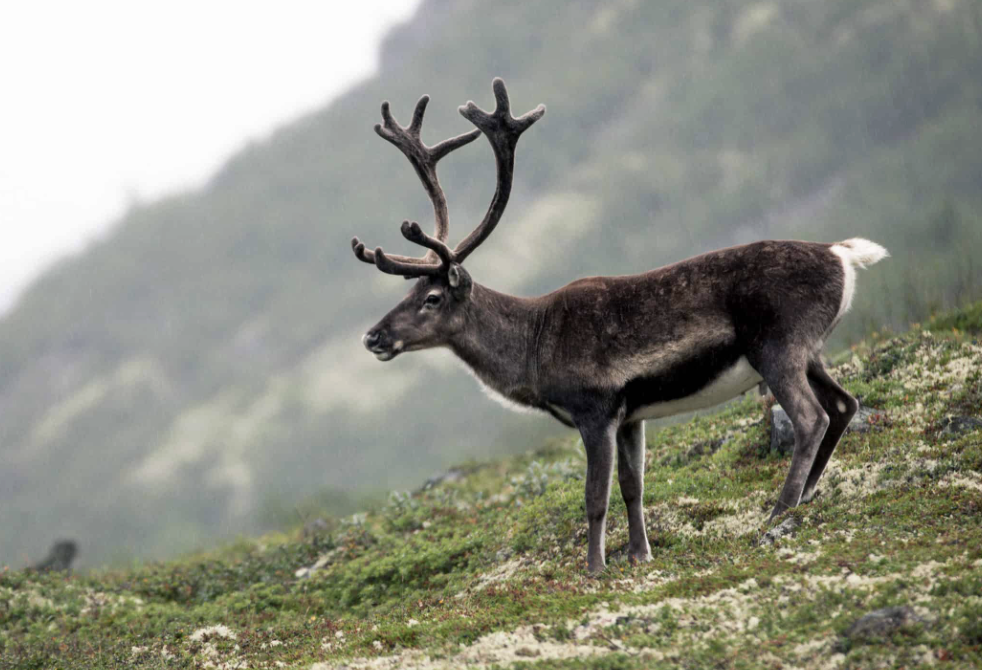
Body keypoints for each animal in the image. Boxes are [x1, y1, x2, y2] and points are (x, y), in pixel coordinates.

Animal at [351, 78, 888, 574]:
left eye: (432, 298)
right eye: (406, 293)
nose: (373, 336)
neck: (532, 348)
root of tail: (842, 255)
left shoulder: (596, 410)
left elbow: (595, 496)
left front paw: (595, 567)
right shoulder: (632, 415)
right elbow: (633, 486)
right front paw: (639, 553)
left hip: (778, 348)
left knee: (811, 417)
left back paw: (779, 511)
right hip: (810, 351)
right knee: (844, 404)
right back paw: (809, 494)